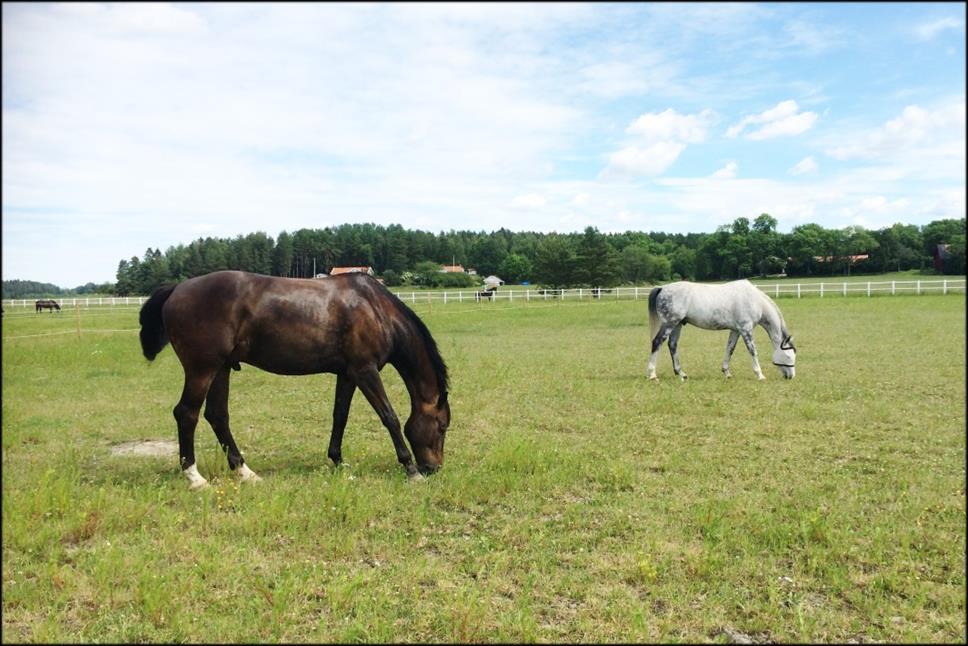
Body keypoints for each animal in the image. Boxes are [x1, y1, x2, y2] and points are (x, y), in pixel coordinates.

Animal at [139, 270, 450, 488]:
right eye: (442, 426)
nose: (434, 468)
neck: (375, 309)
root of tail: (177, 288)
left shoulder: (348, 374)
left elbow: (340, 416)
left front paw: (338, 461)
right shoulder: (366, 371)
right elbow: (389, 417)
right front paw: (410, 468)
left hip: (221, 368)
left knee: (217, 416)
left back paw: (244, 471)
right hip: (202, 369)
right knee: (186, 414)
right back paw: (194, 477)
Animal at [648, 280, 796, 382]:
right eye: (788, 356)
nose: (791, 376)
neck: (754, 300)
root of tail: (662, 288)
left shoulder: (736, 330)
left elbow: (730, 349)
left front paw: (727, 373)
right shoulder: (746, 330)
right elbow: (753, 351)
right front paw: (760, 375)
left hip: (677, 324)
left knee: (672, 345)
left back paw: (681, 374)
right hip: (669, 323)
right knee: (657, 342)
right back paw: (652, 375)